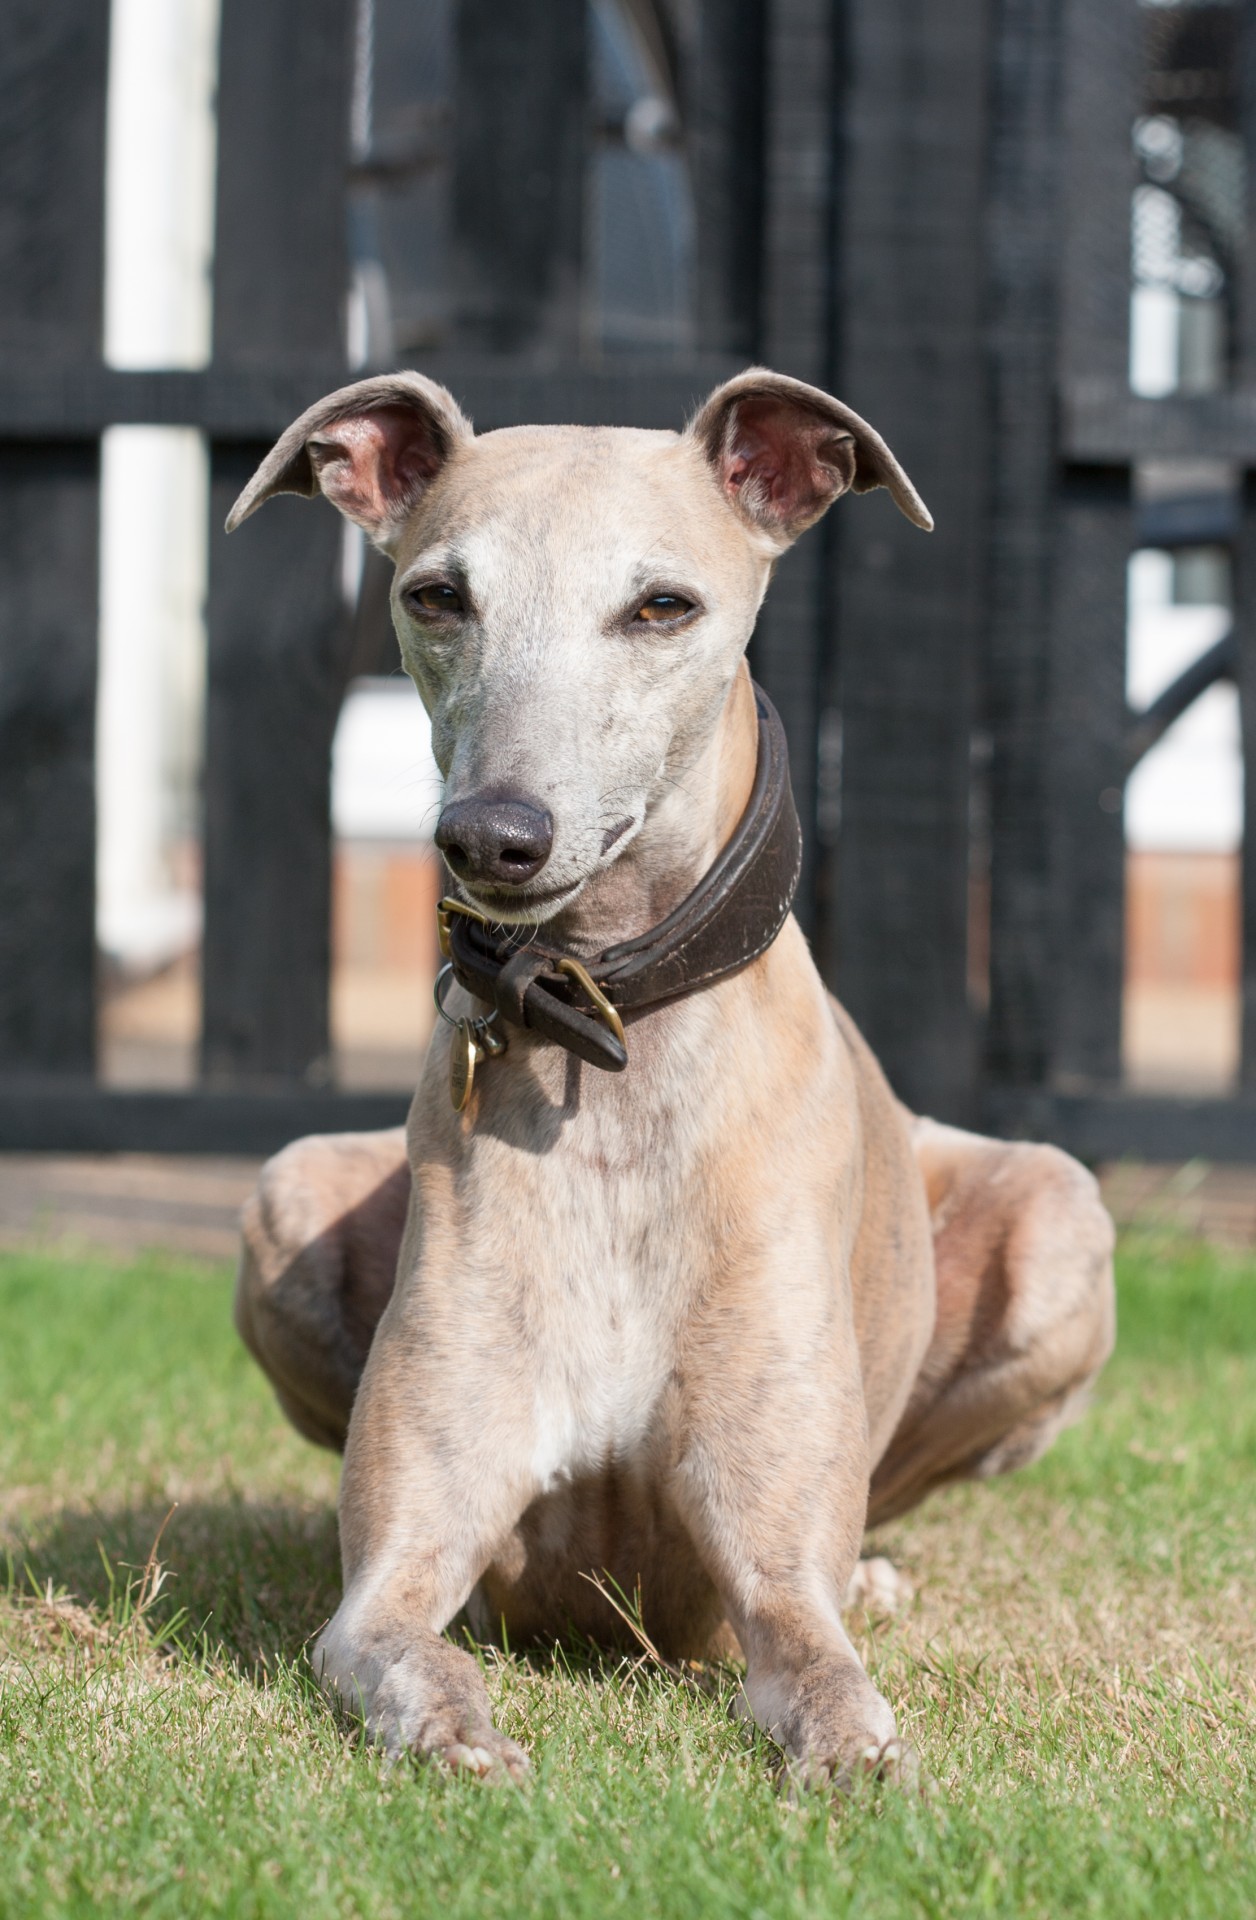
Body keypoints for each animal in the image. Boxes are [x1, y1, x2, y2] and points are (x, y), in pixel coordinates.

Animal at [231, 370, 1113, 1781]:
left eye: (660, 606)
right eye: (437, 595)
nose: (491, 835)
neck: (602, 1032)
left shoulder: (769, 1561)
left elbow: (820, 1664)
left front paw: (856, 1752)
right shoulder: (393, 1571)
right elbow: (395, 1641)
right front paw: (457, 1727)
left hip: (1056, 1219)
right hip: (287, 1195)